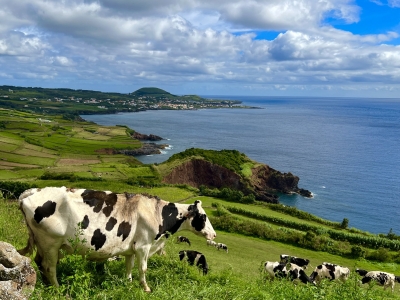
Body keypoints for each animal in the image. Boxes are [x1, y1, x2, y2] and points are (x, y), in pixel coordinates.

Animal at [17, 186, 216, 292]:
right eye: (203, 216)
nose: (214, 235)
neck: (157, 212)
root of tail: (34, 191)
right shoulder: (144, 245)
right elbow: (143, 268)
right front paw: (146, 288)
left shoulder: (131, 248)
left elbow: (129, 265)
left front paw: (128, 283)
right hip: (50, 243)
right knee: (49, 267)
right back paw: (58, 289)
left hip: (44, 244)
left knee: (39, 262)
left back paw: (47, 286)